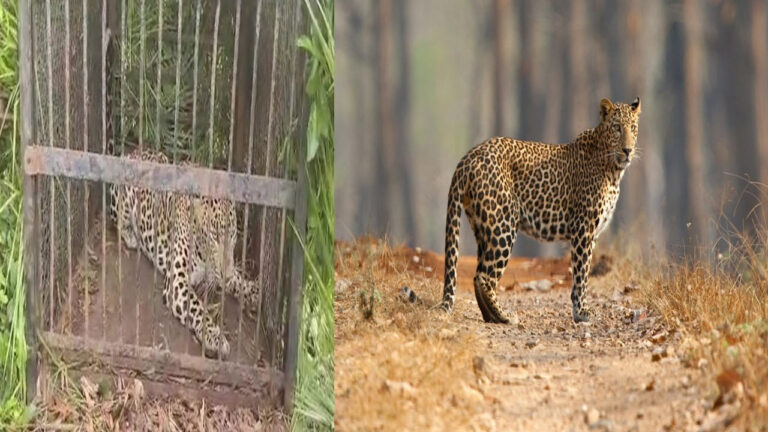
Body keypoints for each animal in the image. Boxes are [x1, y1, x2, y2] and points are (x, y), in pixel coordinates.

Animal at [108, 149, 261, 359]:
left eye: (232, 234)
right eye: (214, 236)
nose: (226, 274)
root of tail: (132, 151)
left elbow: (236, 280)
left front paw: (253, 290)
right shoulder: (177, 280)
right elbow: (198, 309)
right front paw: (215, 337)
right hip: (122, 200)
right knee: (117, 222)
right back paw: (131, 236)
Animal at [441, 97, 641, 324]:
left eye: (633, 128)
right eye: (617, 128)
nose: (628, 150)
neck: (613, 170)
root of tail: (468, 157)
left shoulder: (593, 234)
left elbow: (584, 274)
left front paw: (578, 310)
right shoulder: (583, 229)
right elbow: (581, 274)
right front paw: (581, 312)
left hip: (483, 227)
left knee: (477, 275)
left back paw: (492, 317)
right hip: (503, 225)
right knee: (485, 277)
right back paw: (505, 316)